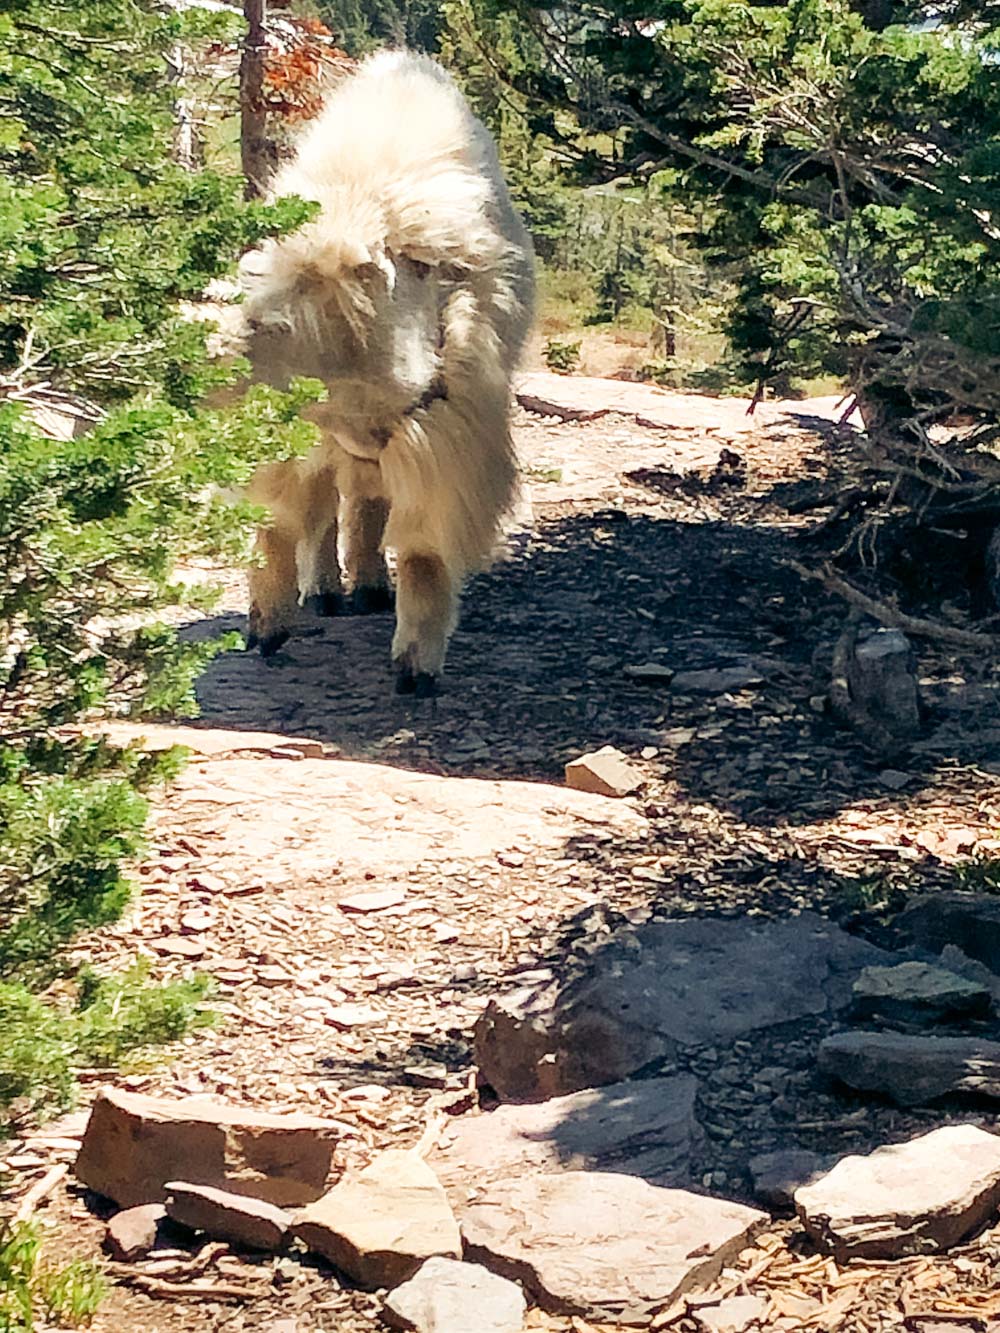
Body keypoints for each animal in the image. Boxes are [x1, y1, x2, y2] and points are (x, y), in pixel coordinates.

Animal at [238, 51, 536, 698]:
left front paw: (415, 663)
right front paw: (266, 627)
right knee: (325, 507)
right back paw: (324, 591)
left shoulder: (440, 430)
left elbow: (422, 544)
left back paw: (369, 587)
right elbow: (282, 521)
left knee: (362, 500)